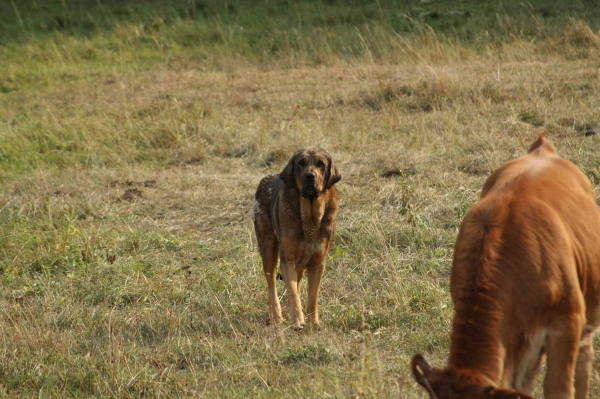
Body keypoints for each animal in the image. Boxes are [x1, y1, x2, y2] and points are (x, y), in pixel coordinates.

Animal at [251, 147, 340, 332]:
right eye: (301, 163)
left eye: (321, 164)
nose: (310, 176)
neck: (310, 218)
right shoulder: (288, 260)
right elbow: (292, 292)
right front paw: (297, 320)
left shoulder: (318, 263)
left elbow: (312, 296)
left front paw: (313, 322)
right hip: (268, 249)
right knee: (272, 284)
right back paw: (277, 318)